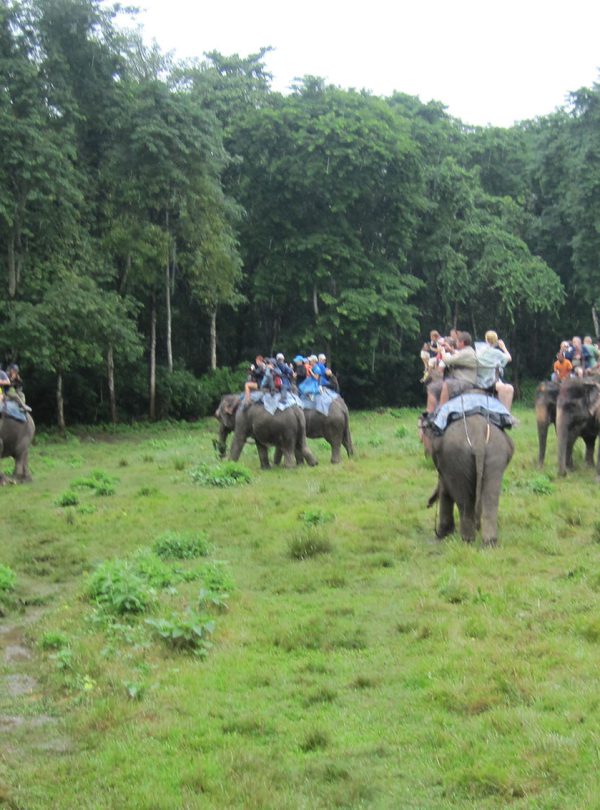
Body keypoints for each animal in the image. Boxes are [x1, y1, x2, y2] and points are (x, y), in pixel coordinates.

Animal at [421, 414, 514, 546]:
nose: (428, 504)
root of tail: (479, 434)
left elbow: (445, 492)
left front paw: (442, 536)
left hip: (456, 456)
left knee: (463, 499)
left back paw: (467, 541)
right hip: (496, 452)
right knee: (490, 496)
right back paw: (489, 543)